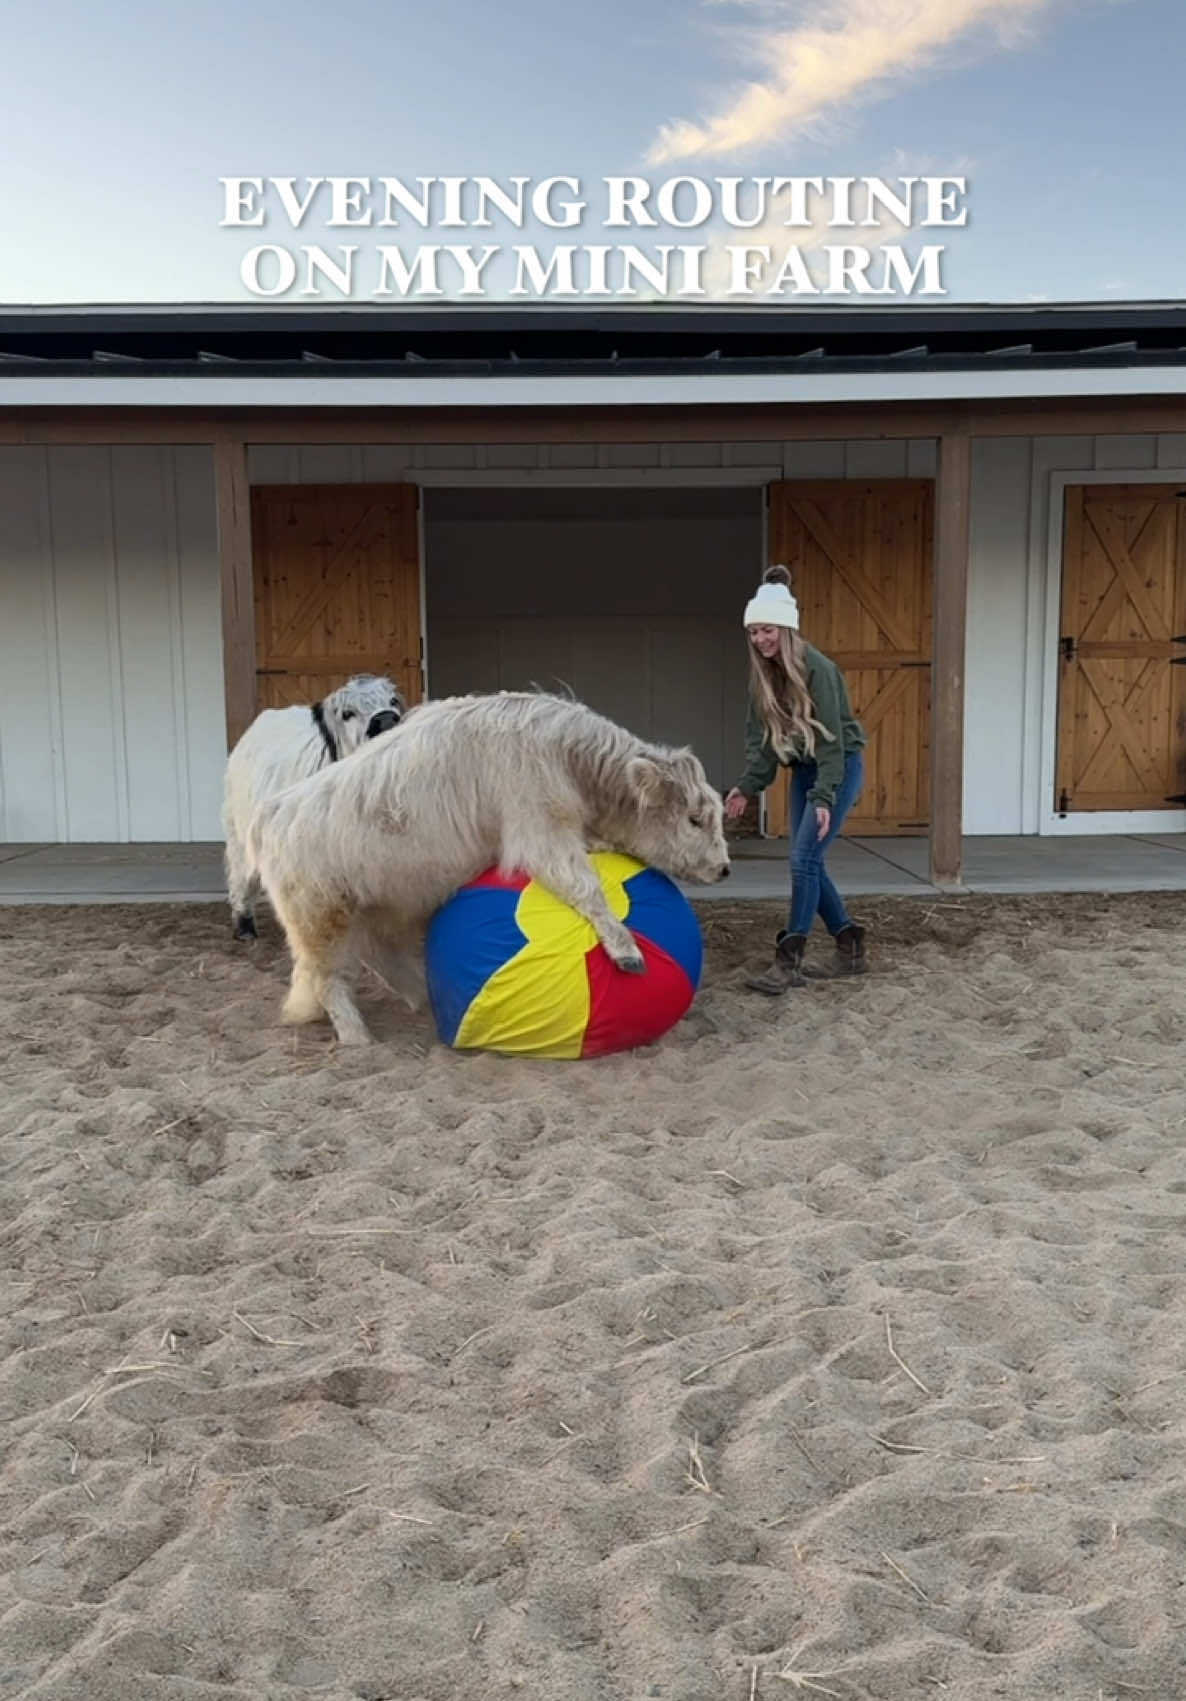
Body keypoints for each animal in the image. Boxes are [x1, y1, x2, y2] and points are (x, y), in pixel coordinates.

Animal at [221, 673, 406, 945]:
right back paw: (244, 926)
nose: (385, 720)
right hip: (238, 833)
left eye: (393, 700)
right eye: (347, 713)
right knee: (241, 876)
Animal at [246, 687, 731, 1034]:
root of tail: (270, 813)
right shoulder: (541, 836)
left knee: (381, 956)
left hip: (383, 906)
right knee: (328, 979)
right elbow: (586, 888)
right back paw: (356, 1036)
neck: (563, 753)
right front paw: (626, 950)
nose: (724, 867)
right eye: (694, 818)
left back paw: (421, 999)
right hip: (320, 923)